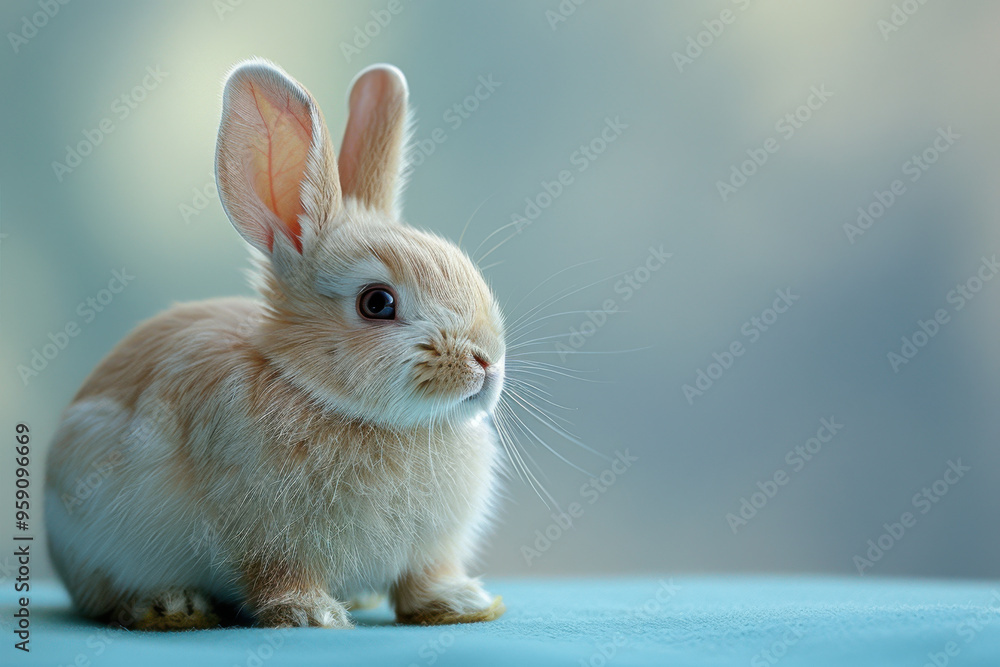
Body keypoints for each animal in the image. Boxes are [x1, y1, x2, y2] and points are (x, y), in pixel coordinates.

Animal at [43, 58, 507, 630]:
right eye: (377, 303)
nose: (487, 361)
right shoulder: (268, 542)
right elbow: (278, 576)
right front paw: (311, 614)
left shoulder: (429, 551)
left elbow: (423, 579)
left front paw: (460, 603)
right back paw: (170, 607)